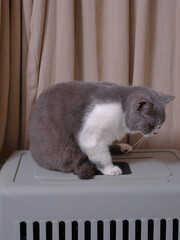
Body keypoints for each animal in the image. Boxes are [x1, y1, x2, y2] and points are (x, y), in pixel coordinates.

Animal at [28, 81, 175, 179]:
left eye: (161, 124)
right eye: (150, 124)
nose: (156, 132)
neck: (122, 109)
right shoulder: (92, 135)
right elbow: (101, 153)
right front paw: (111, 169)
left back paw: (123, 147)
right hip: (64, 148)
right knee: (72, 164)